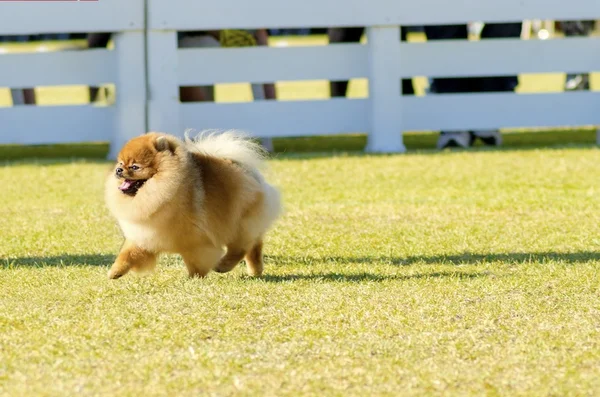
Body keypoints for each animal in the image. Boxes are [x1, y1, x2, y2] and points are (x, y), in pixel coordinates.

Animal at [105, 130, 282, 278]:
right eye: (120, 163)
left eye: (135, 167)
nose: (119, 170)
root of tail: (248, 171)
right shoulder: (144, 234)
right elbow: (127, 254)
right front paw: (115, 272)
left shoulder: (195, 241)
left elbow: (196, 261)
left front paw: (194, 277)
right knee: (254, 245)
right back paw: (255, 271)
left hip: (239, 223)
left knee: (241, 247)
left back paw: (223, 266)